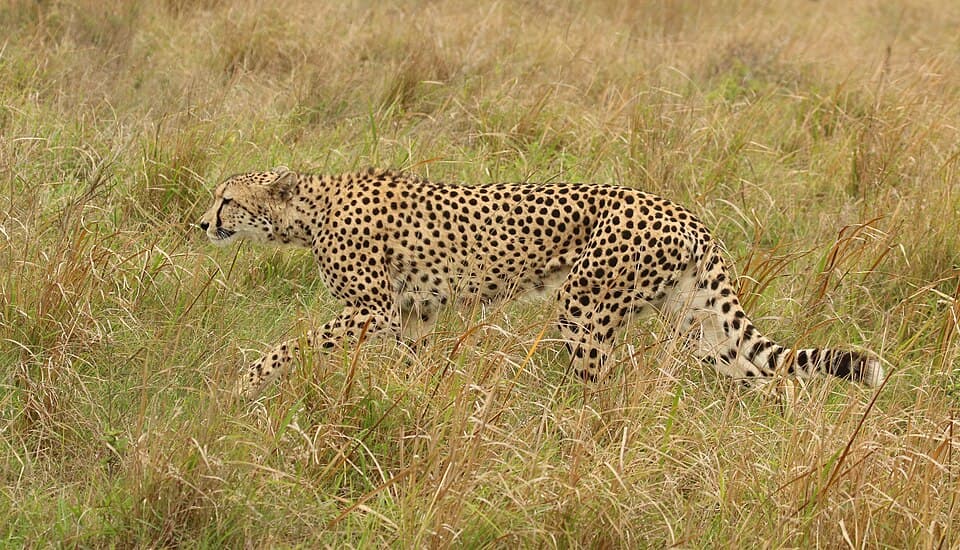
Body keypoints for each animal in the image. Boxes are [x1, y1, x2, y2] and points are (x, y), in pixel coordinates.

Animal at [199, 167, 884, 399]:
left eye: (227, 197)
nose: (201, 221)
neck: (308, 212)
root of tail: (684, 212)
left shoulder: (376, 310)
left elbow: (291, 345)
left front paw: (242, 385)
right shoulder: (413, 315)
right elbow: (414, 366)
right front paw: (413, 406)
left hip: (583, 306)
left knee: (599, 393)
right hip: (702, 328)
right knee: (771, 379)